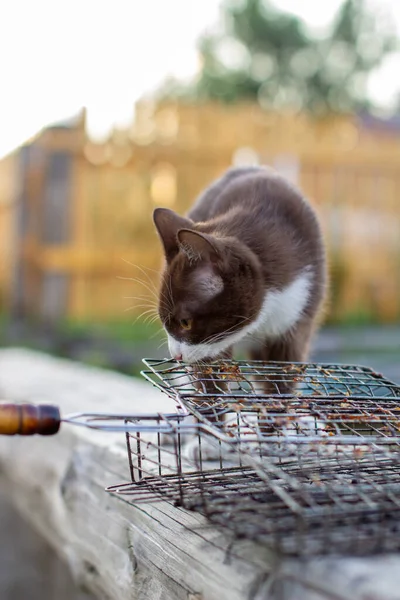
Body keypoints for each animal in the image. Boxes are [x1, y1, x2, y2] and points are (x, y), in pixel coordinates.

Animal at [153, 164, 328, 390]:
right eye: (163, 320)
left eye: (185, 322)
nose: (176, 356)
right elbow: (207, 375)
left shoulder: (299, 310)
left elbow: (283, 373)